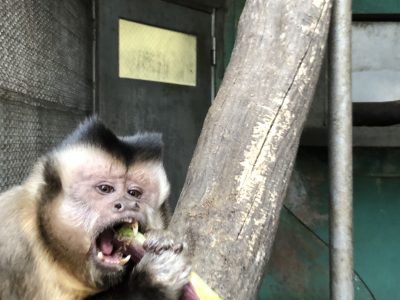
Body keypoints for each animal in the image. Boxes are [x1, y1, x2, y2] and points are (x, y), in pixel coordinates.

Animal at [0, 117, 191, 300]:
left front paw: (161, 237)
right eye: (105, 189)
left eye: (134, 193)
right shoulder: (10, 242)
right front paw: (149, 281)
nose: (129, 204)